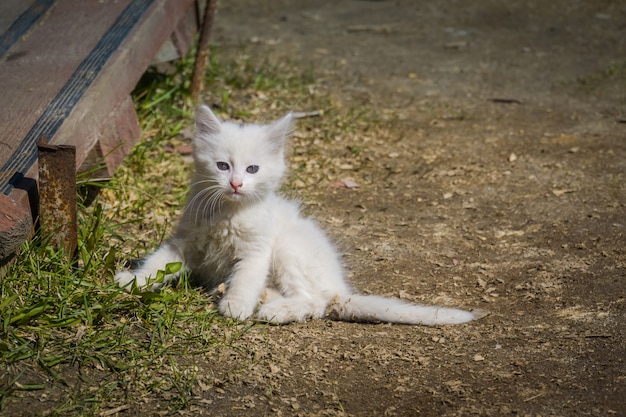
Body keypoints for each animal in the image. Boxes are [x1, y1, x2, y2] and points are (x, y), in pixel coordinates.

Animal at [117, 105, 488, 324]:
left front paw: (237, 305)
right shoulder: (183, 242)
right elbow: (157, 263)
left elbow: (246, 278)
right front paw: (132, 281)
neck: (227, 212)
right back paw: (265, 297)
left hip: (288, 248)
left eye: (252, 169)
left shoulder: (257, 250)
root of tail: (340, 288)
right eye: (222, 166)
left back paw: (274, 310)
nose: (236, 183)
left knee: (315, 303)